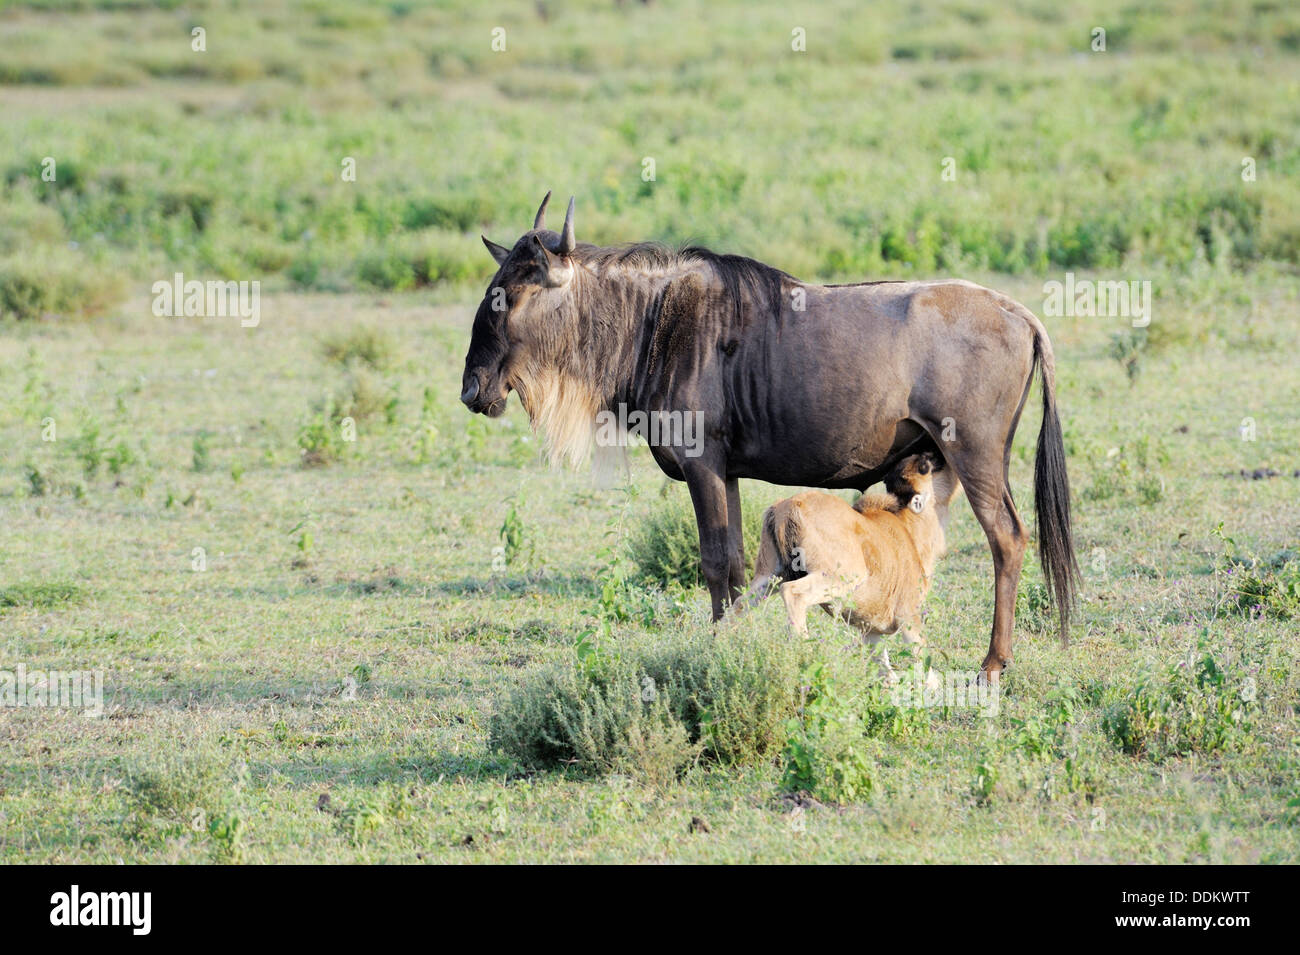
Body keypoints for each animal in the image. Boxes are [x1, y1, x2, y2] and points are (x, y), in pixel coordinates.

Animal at [743, 454, 956, 680]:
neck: (907, 528)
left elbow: (887, 674)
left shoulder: (871, 632)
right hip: (839, 577)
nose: (936, 456)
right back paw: (804, 658)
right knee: (792, 593)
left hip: (766, 580)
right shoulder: (908, 618)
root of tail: (790, 505)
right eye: (924, 467)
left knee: (736, 606)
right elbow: (925, 669)